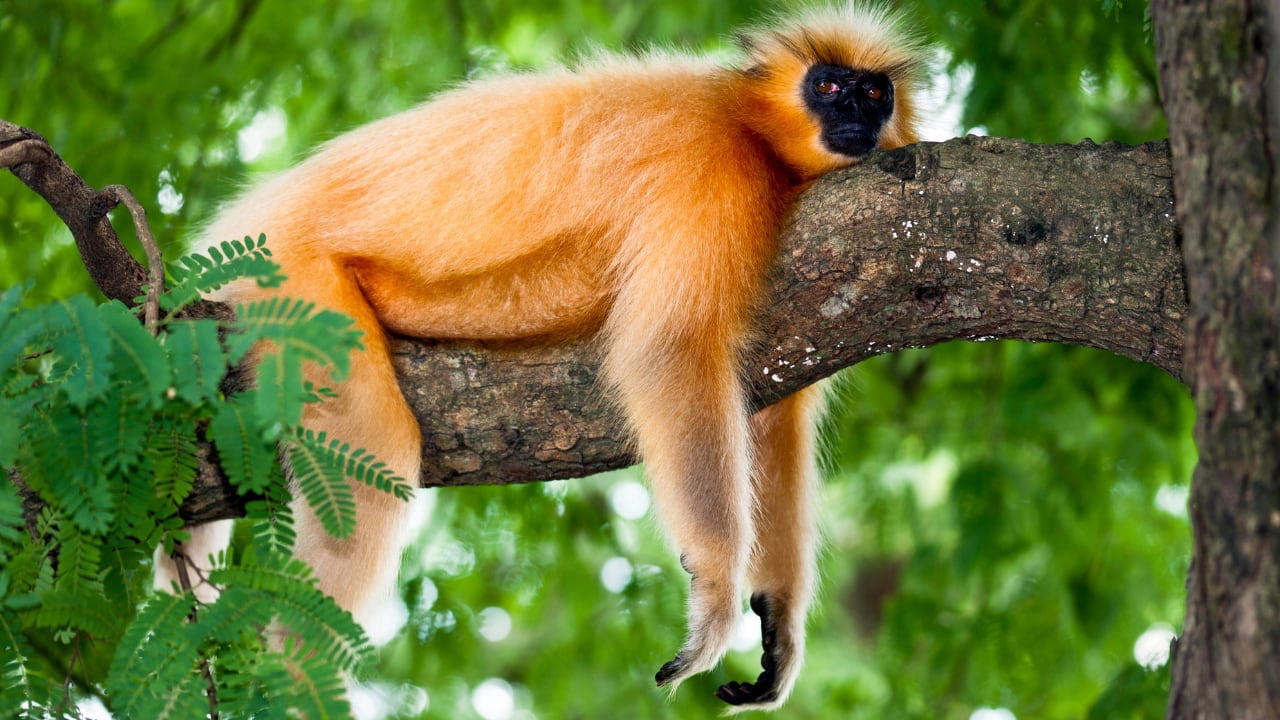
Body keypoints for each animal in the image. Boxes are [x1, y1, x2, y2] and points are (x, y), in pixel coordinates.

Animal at [155, 2, 925, 710]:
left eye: (873, 92)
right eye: (830, 86)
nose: (855, 114)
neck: (749, 130)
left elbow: (772, 411)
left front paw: (778, 620)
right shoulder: (708, 170)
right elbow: (669, 354)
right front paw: (713, 599)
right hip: (288, 276)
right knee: (373, 456)